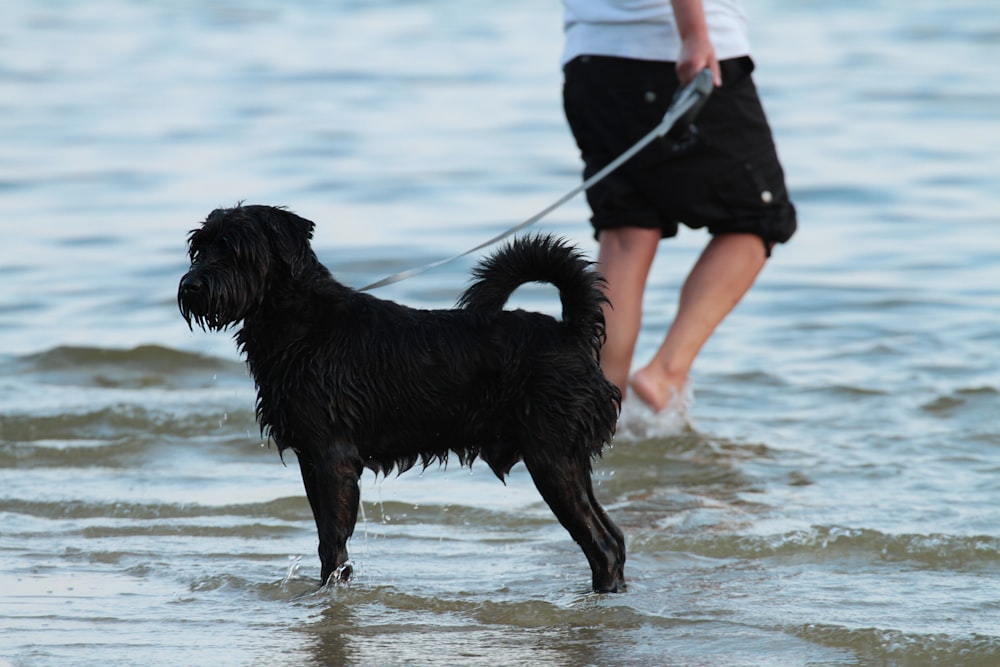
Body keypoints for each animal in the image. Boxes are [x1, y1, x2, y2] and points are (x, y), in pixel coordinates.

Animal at [176, 206, 620, 592]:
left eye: (234, 249)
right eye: (199, 247)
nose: (191, 285)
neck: (300, 322)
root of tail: (572, 333)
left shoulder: (333, 457)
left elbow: (332, 543)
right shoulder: (311, 460)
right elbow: (327, 539)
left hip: (552, 459)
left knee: (602, 545)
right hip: (567, 461)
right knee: (613, 537)